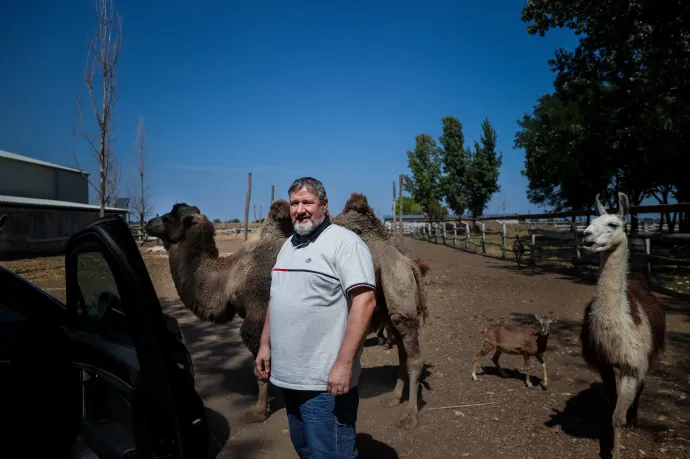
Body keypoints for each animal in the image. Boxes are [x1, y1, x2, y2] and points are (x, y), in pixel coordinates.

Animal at [146, 199, 292, 422]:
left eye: (167, 218)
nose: (147, 224)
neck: (227, 278)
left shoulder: (258, 312)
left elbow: (261, 366)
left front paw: (259, 411)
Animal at [330, 192, 428, 430]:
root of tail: (410, 263)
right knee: (403, 355)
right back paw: (393, 398)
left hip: (399, 296)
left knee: (413, 357)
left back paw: (410, 415)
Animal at [576, 194, 664, 459]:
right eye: (591, 221)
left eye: (613, 224)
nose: (585, 235)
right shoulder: (604, 361)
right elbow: (612, 405)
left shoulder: (632, 364)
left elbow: (618, 417)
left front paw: (616, 451)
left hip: (648, 354)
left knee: (643, 384)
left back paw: (634, 419)